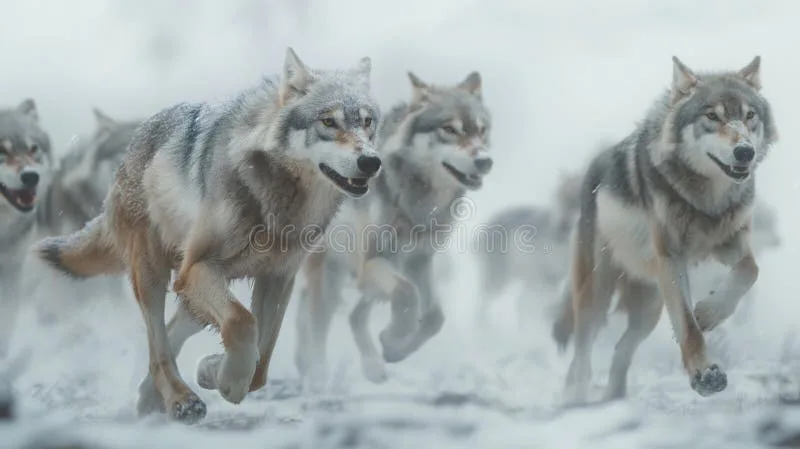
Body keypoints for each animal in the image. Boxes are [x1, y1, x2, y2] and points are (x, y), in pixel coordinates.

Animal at [35, 47, 382, 423]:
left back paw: (151, 398)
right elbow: (243, 324)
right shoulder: (198, 267)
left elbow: (262, 362)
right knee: (158, 346)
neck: (275, 199)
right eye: (328, 122)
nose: (371, 162)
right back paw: (180, 400)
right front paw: (227, 381)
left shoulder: (278, 278)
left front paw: (213, 371)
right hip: (156, 274)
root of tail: (134, 142)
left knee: (175, 333)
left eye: (367, 122)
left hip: (198, 291)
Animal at [293, 70, 492, 387]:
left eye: (481, 131)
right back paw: (318, 375)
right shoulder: (375, 261)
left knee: (348, 315)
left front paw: (394, 348)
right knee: (319, 321)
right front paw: (395, 337)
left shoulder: (418, 261)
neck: (417, 201)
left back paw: (368, 365)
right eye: (449, 129)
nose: (485, 161)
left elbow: (435, 317)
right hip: (332, 273)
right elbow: (407, 295)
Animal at [473, 170, 582, 328]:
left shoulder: (554, 277)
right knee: (483, 301)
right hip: (499, 278)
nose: (560, 228)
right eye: (558, 198)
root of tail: (481, 234)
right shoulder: (543, 276)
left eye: (576, 201)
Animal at [550, 56, 777, 404]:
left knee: (621, 349)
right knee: (582, 352)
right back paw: (576, 398)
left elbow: (750, 271)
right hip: (597, 296)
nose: (745, 152)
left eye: (749, 116)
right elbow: (688, 327)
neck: (706, 201)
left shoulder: (730, 244)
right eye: (712, 116)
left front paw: (709, 312)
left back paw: (614, 399)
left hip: (649, 308)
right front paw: (706, 376)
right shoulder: (672, 258)